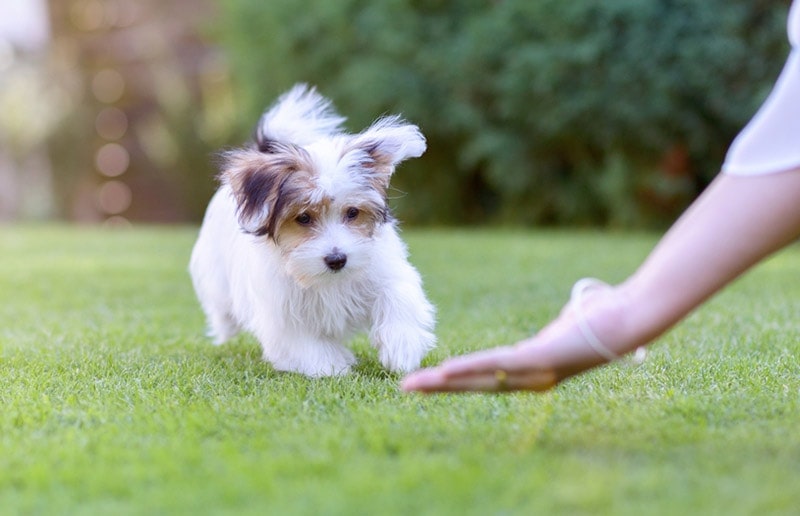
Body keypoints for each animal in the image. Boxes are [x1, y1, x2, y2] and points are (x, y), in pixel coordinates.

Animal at [189, 83, 438, 374]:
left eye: (352, 213)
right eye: (304, 218)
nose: (337, 259)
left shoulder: (384, 271)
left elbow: (398, 296)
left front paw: (402, 347)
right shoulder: (283, 312)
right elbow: (305, 343)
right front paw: (332, 366)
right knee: (221, 307)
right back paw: (224, 326)